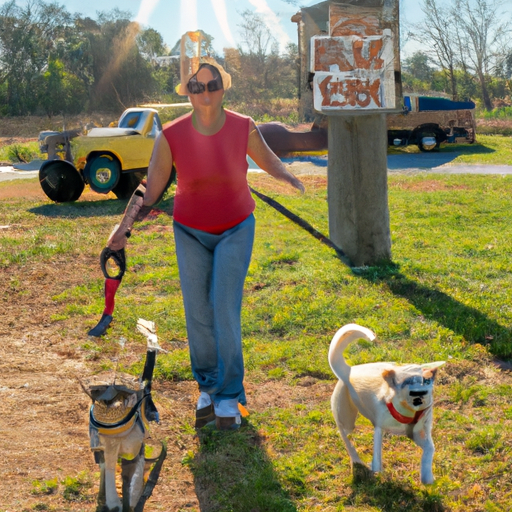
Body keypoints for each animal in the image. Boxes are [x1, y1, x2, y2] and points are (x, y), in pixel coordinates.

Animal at [328, 324, 444, 484]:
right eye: (406, 384)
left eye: (425, 383)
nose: (419, 397)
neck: (408, 413)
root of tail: (347, 370)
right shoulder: (379, 428)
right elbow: (377, 461)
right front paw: (375, 469)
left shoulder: (419, 433)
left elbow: (429, 450)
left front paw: (427, 477)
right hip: (346, 421)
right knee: (347, 441)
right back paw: (358, 462)